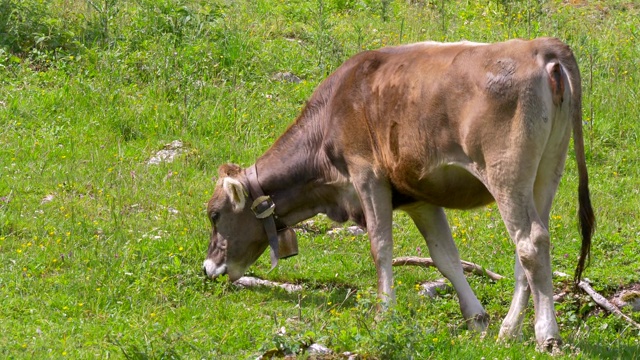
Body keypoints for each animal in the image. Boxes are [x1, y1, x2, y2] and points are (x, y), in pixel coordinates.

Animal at [202, 38, 592, 350]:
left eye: (214, 214)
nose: (208, 268)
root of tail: (540, 46)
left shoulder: (367, 175)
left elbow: (380, 247)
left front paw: (384, 313)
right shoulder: (419, 196)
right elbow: (445, 258)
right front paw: (476, 318)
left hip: (506, 173)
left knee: (531, 242)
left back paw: (546, 335)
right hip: (546, 171)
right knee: (528, 248)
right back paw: (509, 330)